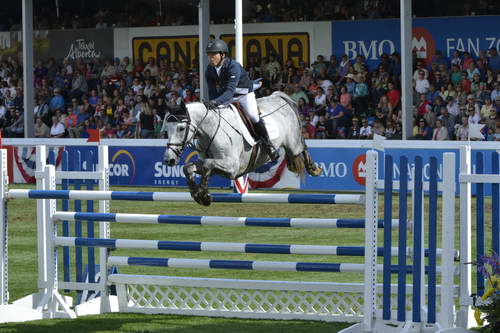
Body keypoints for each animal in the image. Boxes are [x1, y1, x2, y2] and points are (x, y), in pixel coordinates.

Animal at [163, 91, 320, 205]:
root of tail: (279, 97)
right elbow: (188, 168)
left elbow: (207, 165)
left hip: (293, 144)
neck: (211, 129)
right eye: (167, 130)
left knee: (302, 147)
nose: (169, 160)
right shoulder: (215, 165)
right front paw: (197, 193)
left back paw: (314, 168)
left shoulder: (232, 167)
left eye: (181, 128)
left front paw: (204, 195)